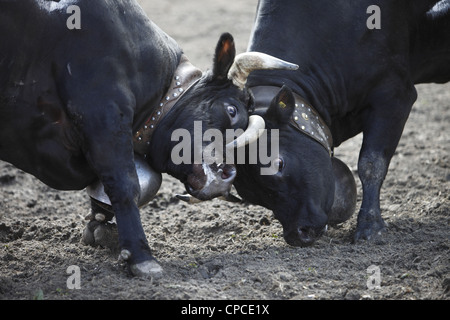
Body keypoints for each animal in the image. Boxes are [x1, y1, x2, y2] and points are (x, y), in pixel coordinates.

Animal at [0, 0, 296, 276]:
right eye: (231, 110)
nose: (228, 175)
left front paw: (103, 226)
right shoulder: (101, 110)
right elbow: (125, 183)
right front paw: (141, 256)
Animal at [229, 0, 450, 245]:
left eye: (278, 163)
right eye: (248, 195)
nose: (297, 234)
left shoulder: (394, 95)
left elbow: (371, 163)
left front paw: (370, 226)